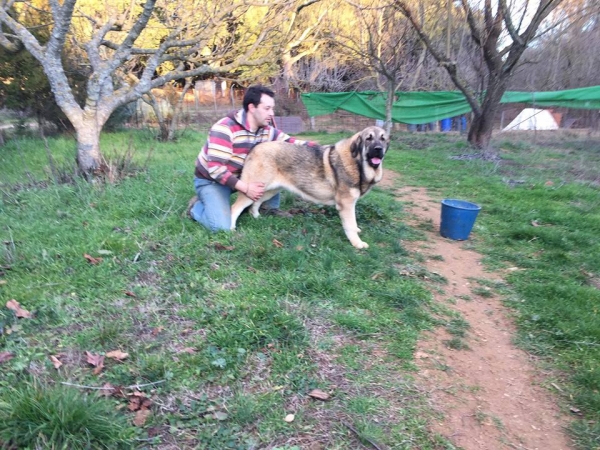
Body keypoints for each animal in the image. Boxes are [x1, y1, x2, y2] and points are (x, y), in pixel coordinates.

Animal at [230, 125, 390, 248]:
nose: (378, 149)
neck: (357, 163)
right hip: (253, 188)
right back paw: (231, 229)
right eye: (368, 138)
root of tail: (256, 147)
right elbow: (350, 225)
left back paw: (257, 217)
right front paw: (357, 243)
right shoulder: (346, 204)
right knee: (235, 208)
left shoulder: (351, 204)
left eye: (383, 139)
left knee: (255, 203)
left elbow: (353, 222)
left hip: (268, 190)